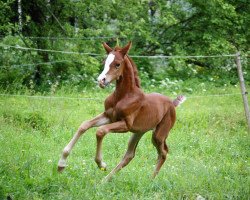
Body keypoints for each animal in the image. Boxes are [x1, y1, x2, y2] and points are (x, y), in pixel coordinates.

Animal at [57, 41, 186, 180]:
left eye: (117, 64)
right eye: (104, 62)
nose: (101, 81)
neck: (122, 96)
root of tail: (172, 103)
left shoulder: (125, 125)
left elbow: (100, 131)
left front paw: (101, 164)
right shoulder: (108, 116)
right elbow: (84, 125)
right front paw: (61, 164)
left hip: (158, 135)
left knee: (163, 152)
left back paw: (151, 179)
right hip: (138, 132)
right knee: (129, 155)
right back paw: (105, 180)